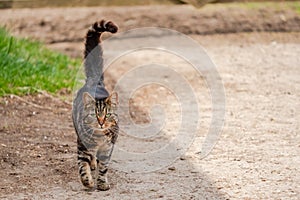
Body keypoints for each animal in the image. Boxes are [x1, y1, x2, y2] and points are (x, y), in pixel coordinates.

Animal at [72, 19, 118, 191]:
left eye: (108, 114)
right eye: (94, 114)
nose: (101, 122)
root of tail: (94, 80)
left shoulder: (108, 149)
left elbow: (104, 168)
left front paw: (102, 183)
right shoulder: (82, 147)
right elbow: (82, 167)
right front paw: (87, 181)